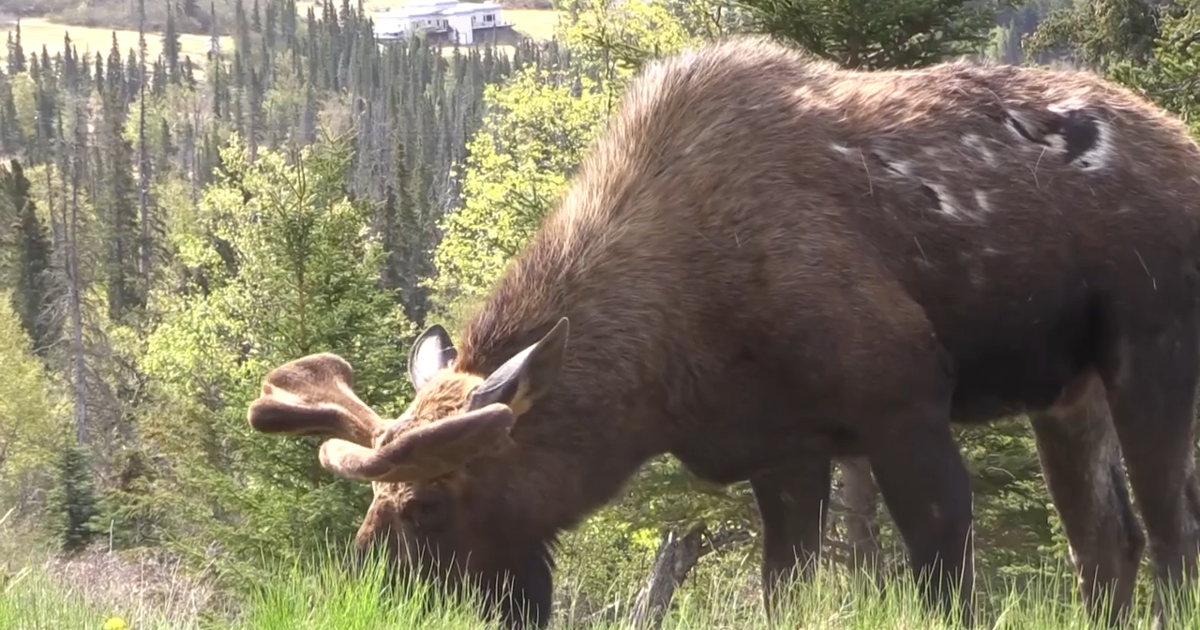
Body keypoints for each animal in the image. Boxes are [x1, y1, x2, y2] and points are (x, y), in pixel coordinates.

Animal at [246, 35, 1200, 629]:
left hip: (1151, 348)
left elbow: (942, 577)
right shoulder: (785, 449)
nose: (367, 594)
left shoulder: (904, 400)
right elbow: (788, 590)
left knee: (1169, 531)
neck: (667, 372)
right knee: (1106, 545)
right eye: (374, 502)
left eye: (431, 504)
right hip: (1065, 392)